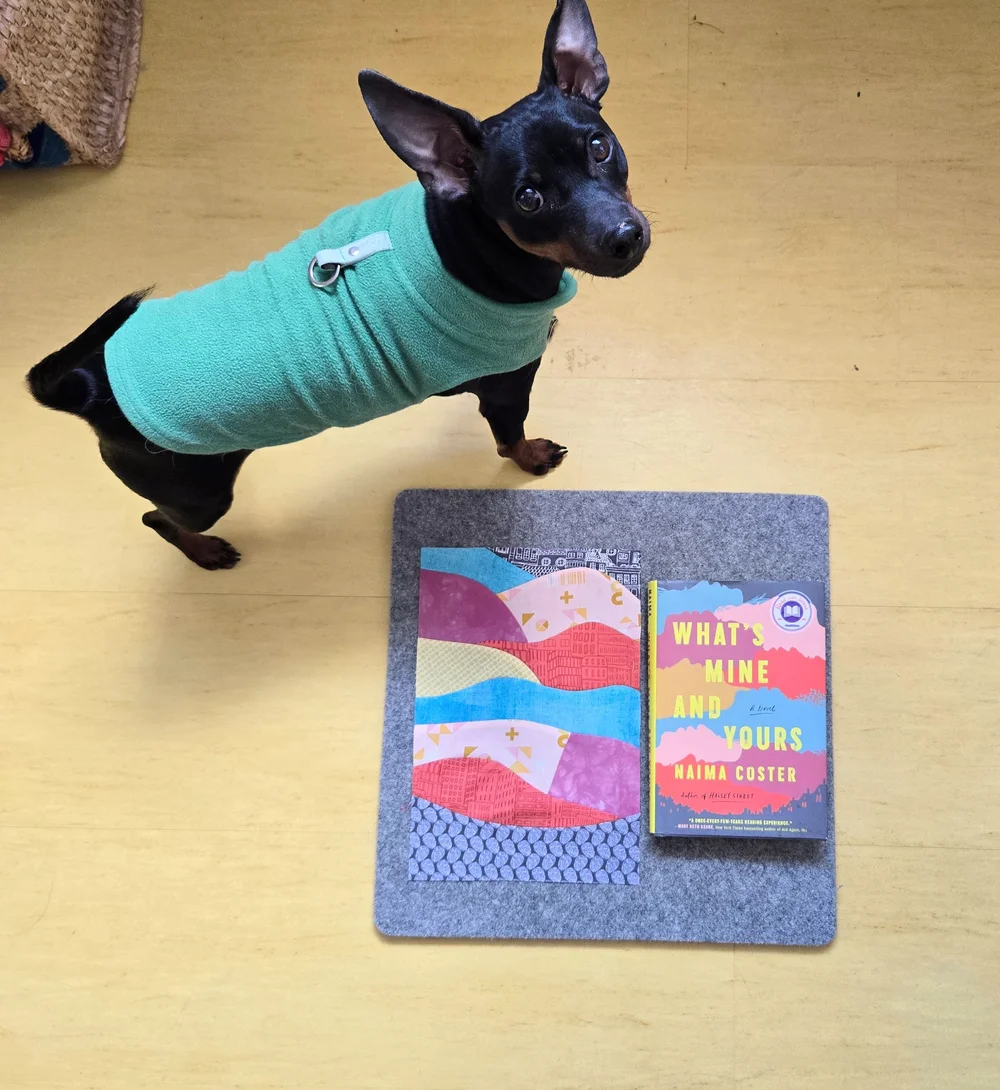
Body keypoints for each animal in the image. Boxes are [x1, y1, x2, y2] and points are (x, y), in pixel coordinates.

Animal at [27, 0, 649, 570]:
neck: (478, 245)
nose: (626, 237)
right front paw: (530, 457)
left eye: (599, 147)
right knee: (156, 518)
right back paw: (205, 552)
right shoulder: (506, 387)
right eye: (528, 199)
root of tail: (90, 385)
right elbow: (509, 438)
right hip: (201, 490)